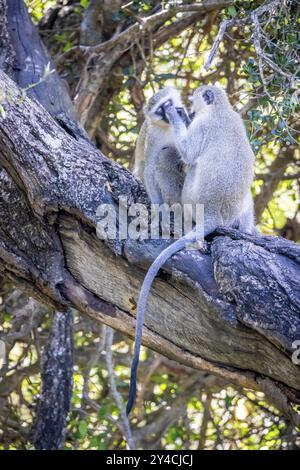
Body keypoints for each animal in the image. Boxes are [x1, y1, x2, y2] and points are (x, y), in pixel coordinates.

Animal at [126, 84, 255, 414]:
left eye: (170, 104)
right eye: (160, 108)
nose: (178, 111)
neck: (223, 109)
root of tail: (213, 216)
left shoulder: (202, 125)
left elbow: (188, 151)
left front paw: (180, 118)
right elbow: (149, 167)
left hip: (190, 196)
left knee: (175, 156)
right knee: (163, 159)